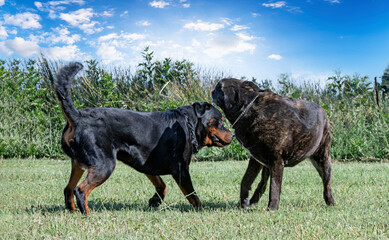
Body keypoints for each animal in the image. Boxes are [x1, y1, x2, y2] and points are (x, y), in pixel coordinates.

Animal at [53, 62, 232, 214]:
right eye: (220, 121)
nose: (233, 134)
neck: (188, 124)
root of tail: (78, 117)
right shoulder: (181, 168)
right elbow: (192, 194)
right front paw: (202, 209)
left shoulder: (146, 163)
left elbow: (162, 185)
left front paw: (155, 201)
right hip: (104, 164)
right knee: (80, 190)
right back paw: (88, 213)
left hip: (78, 163)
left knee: (68, 189)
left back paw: (73, 211)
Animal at [211, 79, 334, 210]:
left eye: (218, 87)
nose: (212, 90)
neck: (248, 109)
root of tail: (323, 112)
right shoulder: (255, 160)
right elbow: (246, 181)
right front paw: (243, 204)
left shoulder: (276, 160)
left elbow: (274, 186)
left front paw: (272, 208)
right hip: (266, 164)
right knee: (263, 183)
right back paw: (253, 201)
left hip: (323, 160)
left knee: (327, 183)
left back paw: (330, 201)